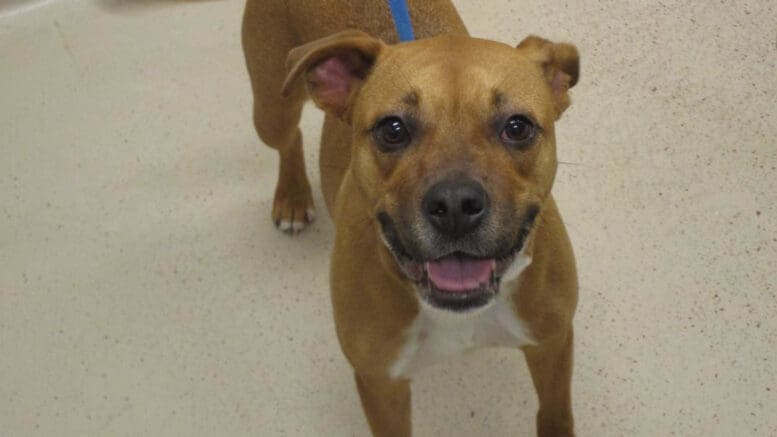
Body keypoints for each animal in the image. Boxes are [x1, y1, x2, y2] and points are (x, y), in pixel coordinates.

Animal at [246, 1, 580, 434]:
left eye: (517, 127)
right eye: (392, 129)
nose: (455, 205)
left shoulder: (552, 344)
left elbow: (555, 413)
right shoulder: (380, 384)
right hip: (271, 106)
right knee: (289, 137)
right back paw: (292, 194)